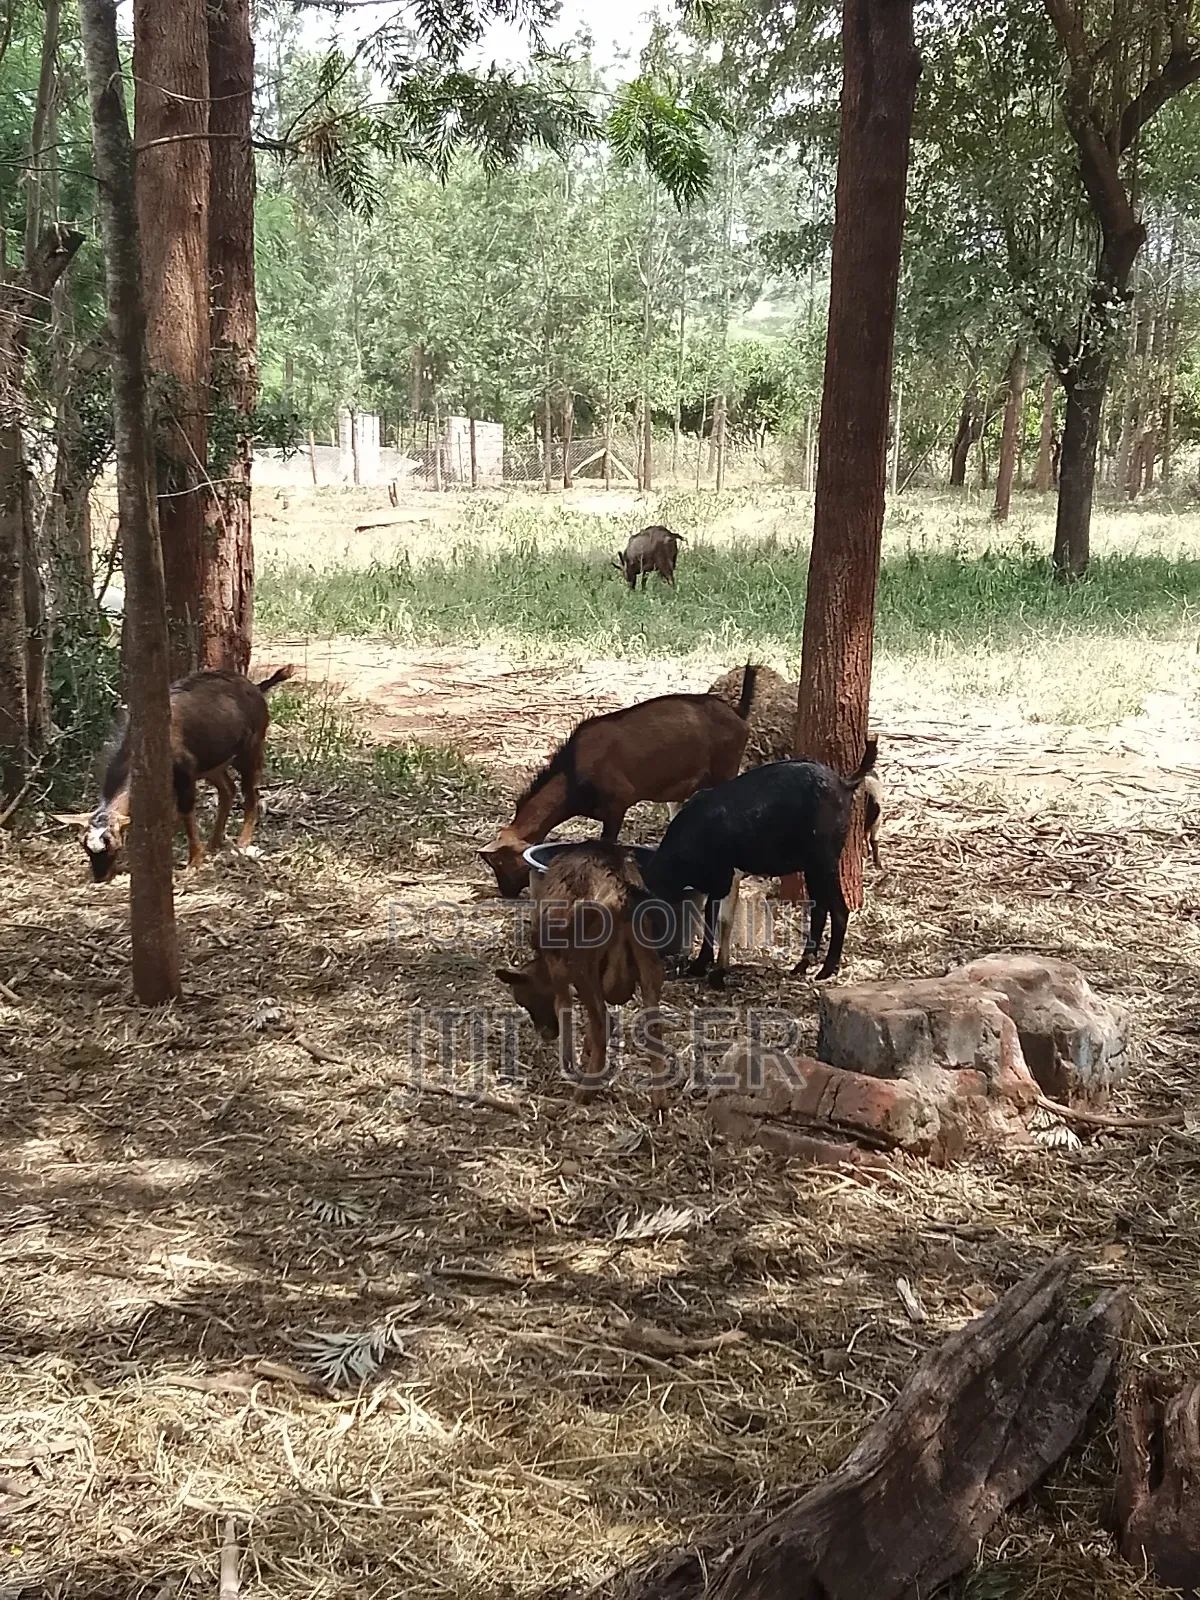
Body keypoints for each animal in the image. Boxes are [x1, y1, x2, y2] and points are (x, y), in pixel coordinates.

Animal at [64, 666, 295, 882]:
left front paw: (194, 862)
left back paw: (242, 843)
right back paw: (214, 843)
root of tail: (256, 688)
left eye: (113, 844)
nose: (100, 877)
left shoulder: (185, 774)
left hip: (250, 750)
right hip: (212, 764)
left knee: (251, 794)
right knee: (228, 789)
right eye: (84, 845)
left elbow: (185, 814)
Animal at [480, 668, 758, 897]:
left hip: (726, 770)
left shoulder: (618, 803)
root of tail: (737, 714)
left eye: (501, 861)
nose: (506, 891)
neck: (572, 774)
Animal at [494, 843, 670, 1108]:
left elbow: (564, 1007)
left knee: (603, 1022)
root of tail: (622, 895)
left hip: (584, 965)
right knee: (653, 1025)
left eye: (523, 999)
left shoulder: (559, 970)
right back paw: (659, 1101)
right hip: (649, 961)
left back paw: (585, 1091)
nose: (546, 1034)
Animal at [641, 739, 879, 987]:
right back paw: (802, 965)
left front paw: (707, 967)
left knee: (839, 910)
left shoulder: (722, 877)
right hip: (812, 865)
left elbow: (716, 918)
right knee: (820, 908)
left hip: (824, 860)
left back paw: (827, 969)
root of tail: (844, 784)